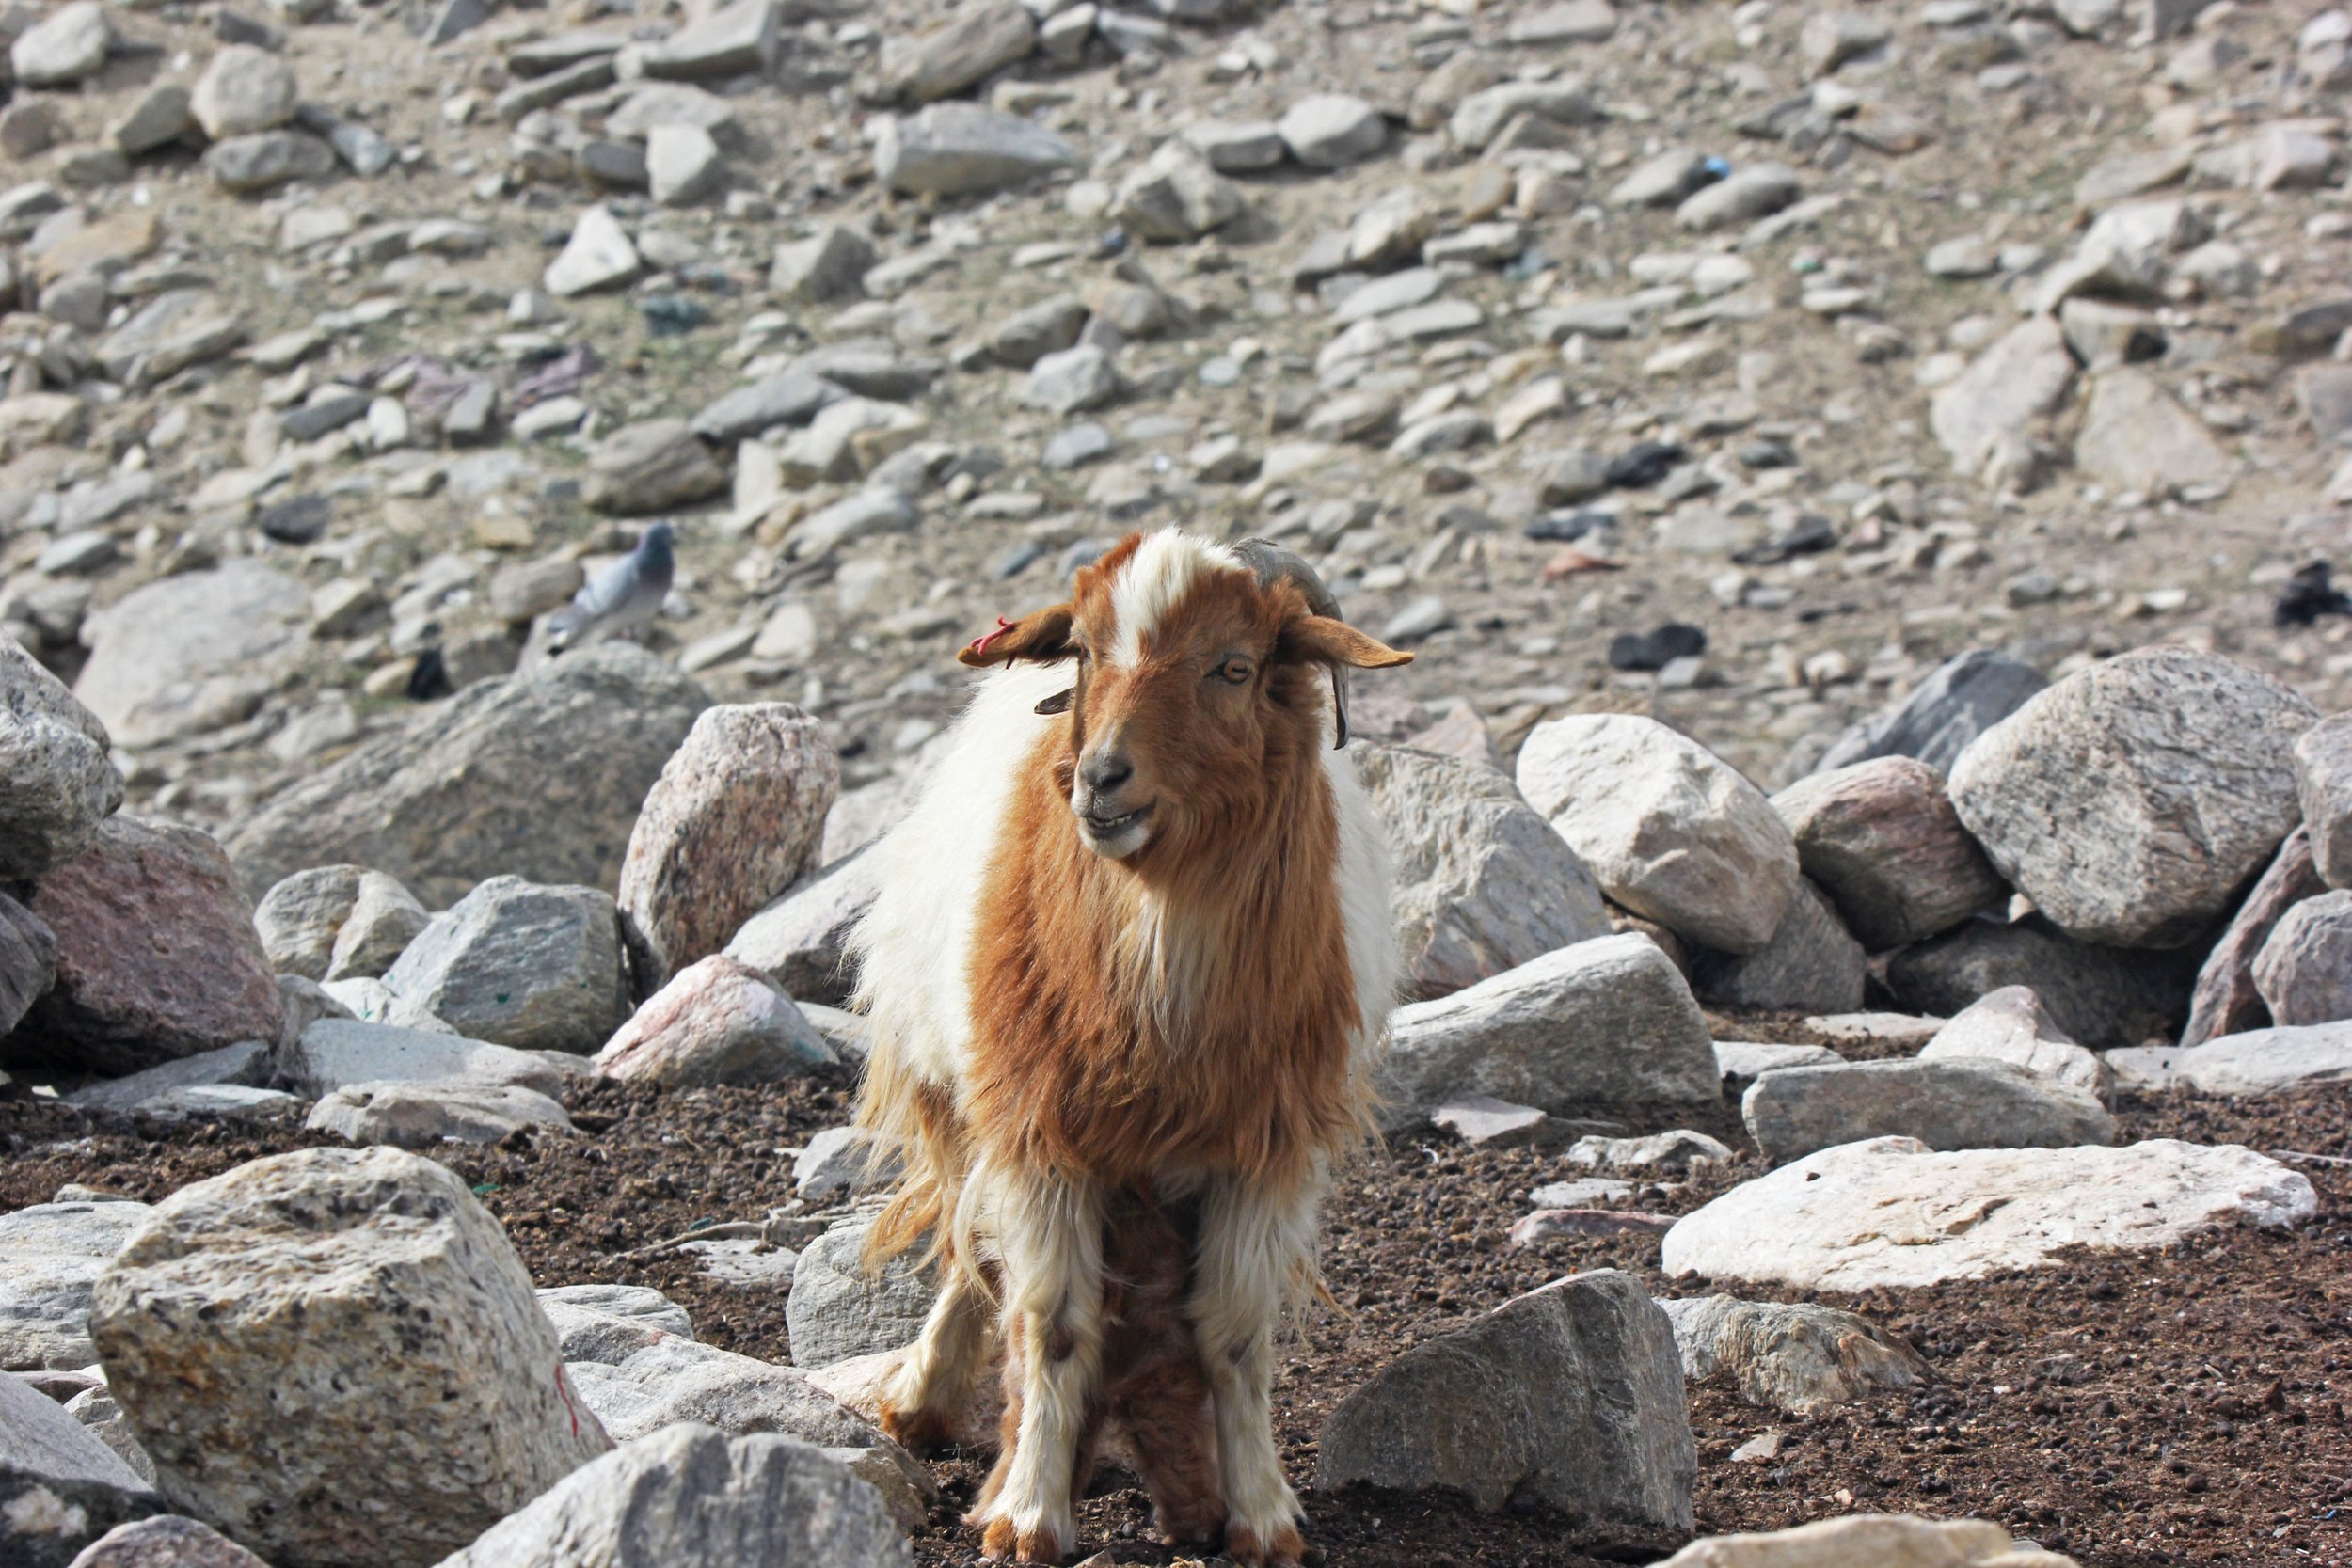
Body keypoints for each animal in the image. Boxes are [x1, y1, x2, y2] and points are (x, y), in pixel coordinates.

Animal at [848, 529, 1411, 1566]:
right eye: (1082, 653)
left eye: (1233, 667)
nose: (1101, 777)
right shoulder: (1041, 1136)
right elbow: (1054, 1324)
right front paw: (1029, 1512)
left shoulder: (1264, 1152)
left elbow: (1233, 1334)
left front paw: (1259, 1512)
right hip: (953, 1085)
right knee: (970, 1249)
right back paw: (920, 1398)